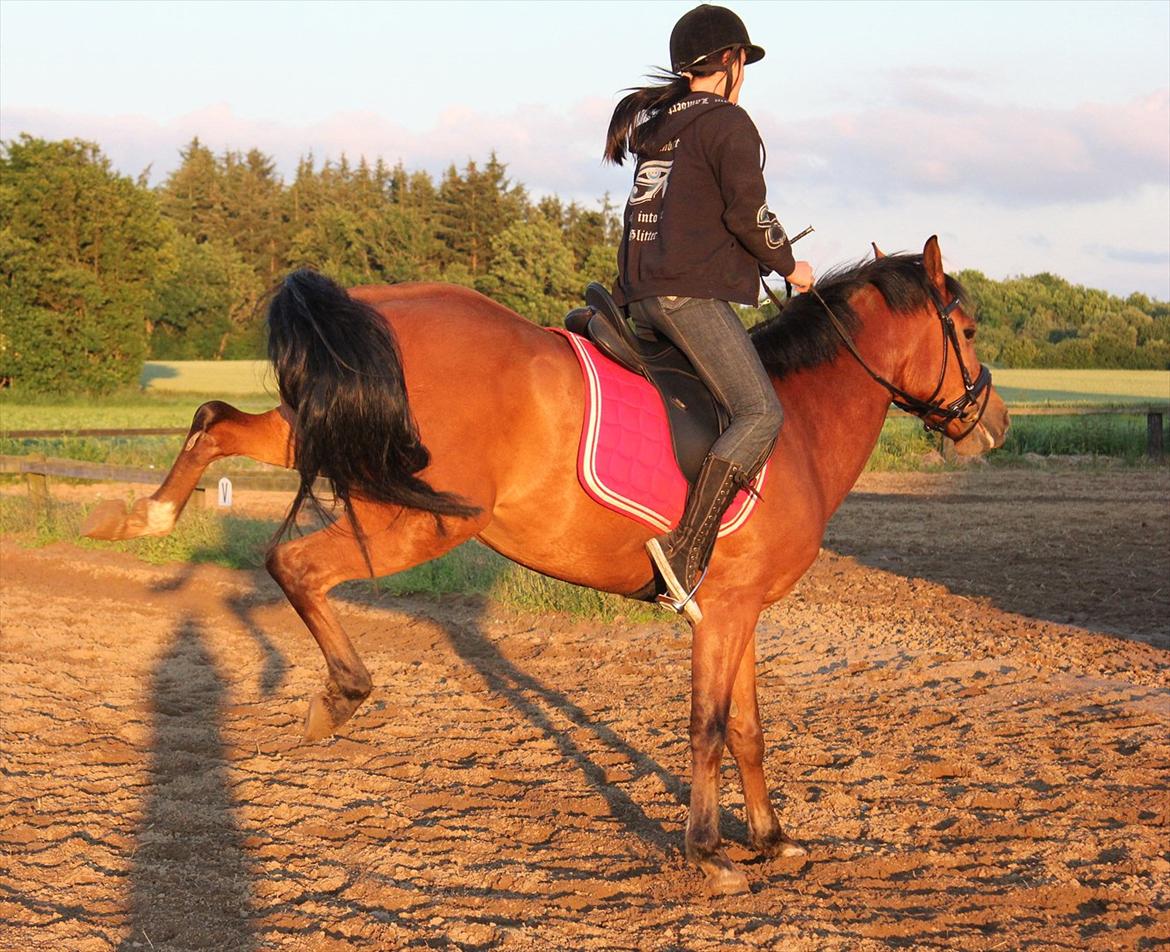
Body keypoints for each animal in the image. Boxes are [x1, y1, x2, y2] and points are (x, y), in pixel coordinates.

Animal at [83, 235, 1009, 895]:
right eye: (965, 331)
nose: (993, 422)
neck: (797, 421)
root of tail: (376, 305)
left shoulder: (741, 610)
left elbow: (748, 728)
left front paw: (774, 839)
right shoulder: (725, 612)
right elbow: (709, 727)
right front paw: (708, 852)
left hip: (328, 431)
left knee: (216, 423)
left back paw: (138, 517)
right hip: (415, 518)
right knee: (294, 562)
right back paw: (338, 693)